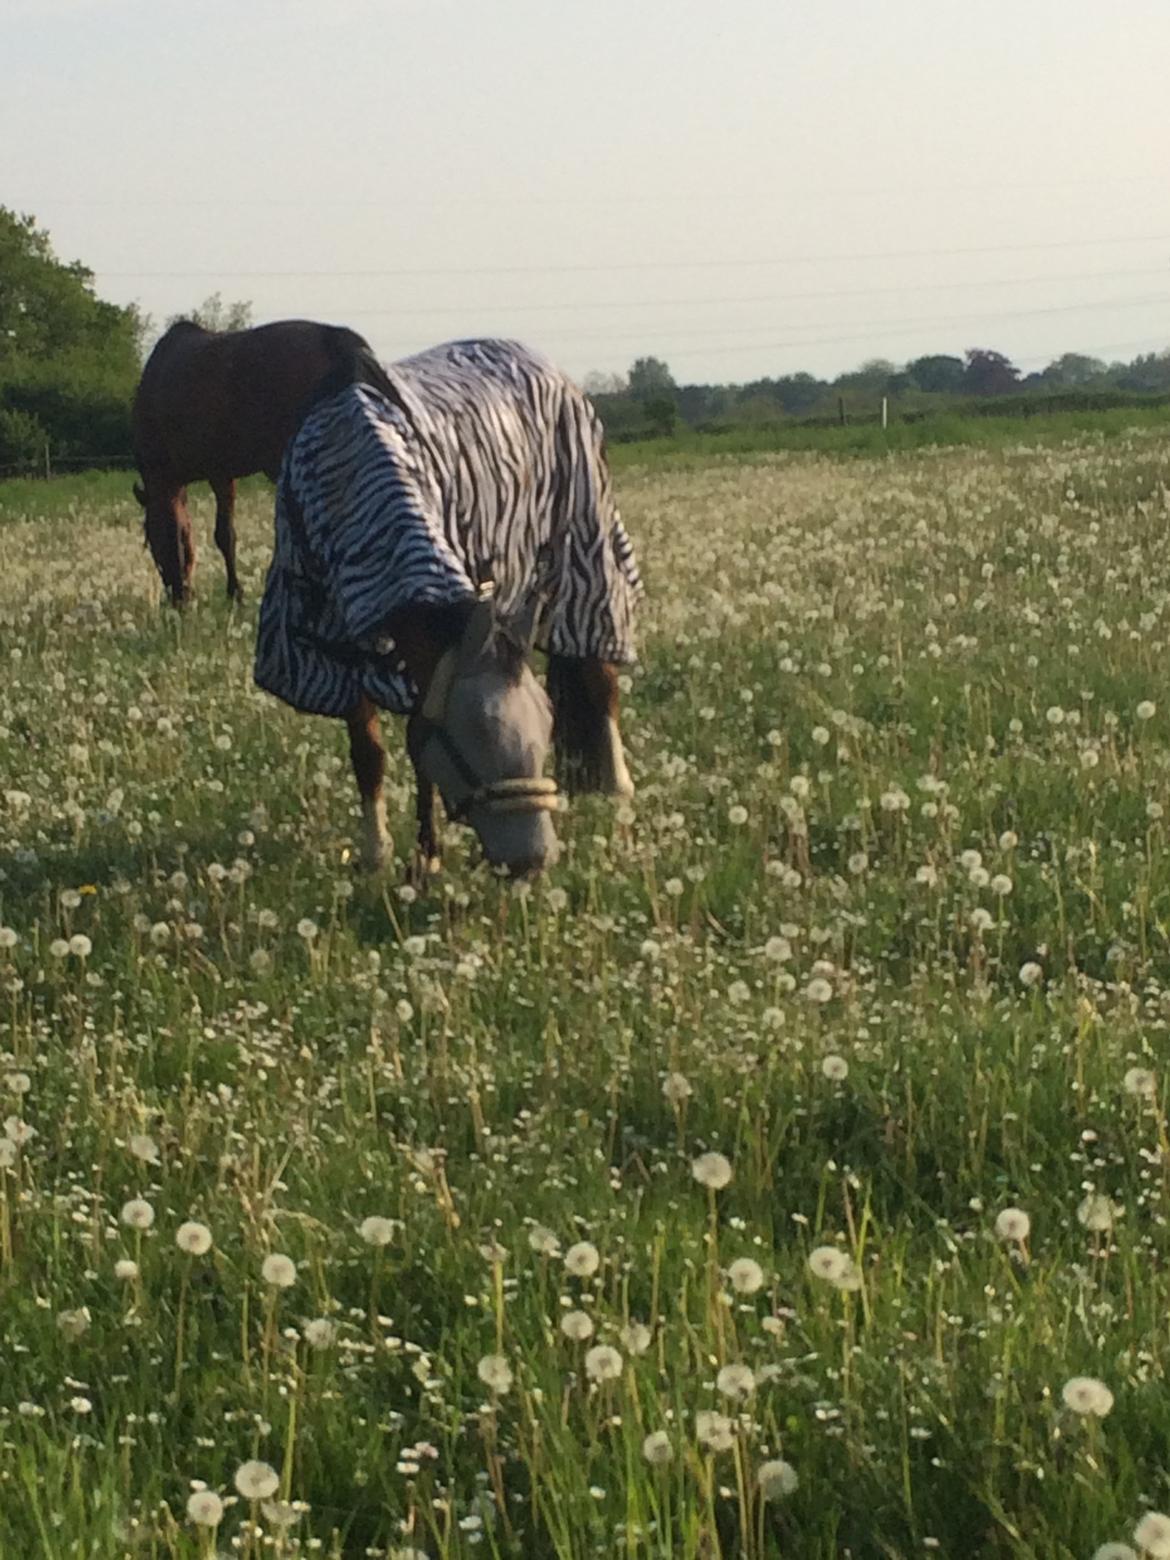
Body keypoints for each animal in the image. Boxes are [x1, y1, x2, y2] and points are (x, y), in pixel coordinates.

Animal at [132, 318, 375, 605]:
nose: (178, 597)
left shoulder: (210, 474)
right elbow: (224, 534)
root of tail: (334, 339)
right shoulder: (223, 475)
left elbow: (215, 533)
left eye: (151, 542)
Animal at [253, 337, 643, 877]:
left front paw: (425, 858)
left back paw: (621, 811)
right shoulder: (336, 642)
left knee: (601, 686)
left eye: (545, 726)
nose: (533, 861)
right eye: (476, 733)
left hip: (588, 570)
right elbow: (370, 753)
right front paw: (387, 856)